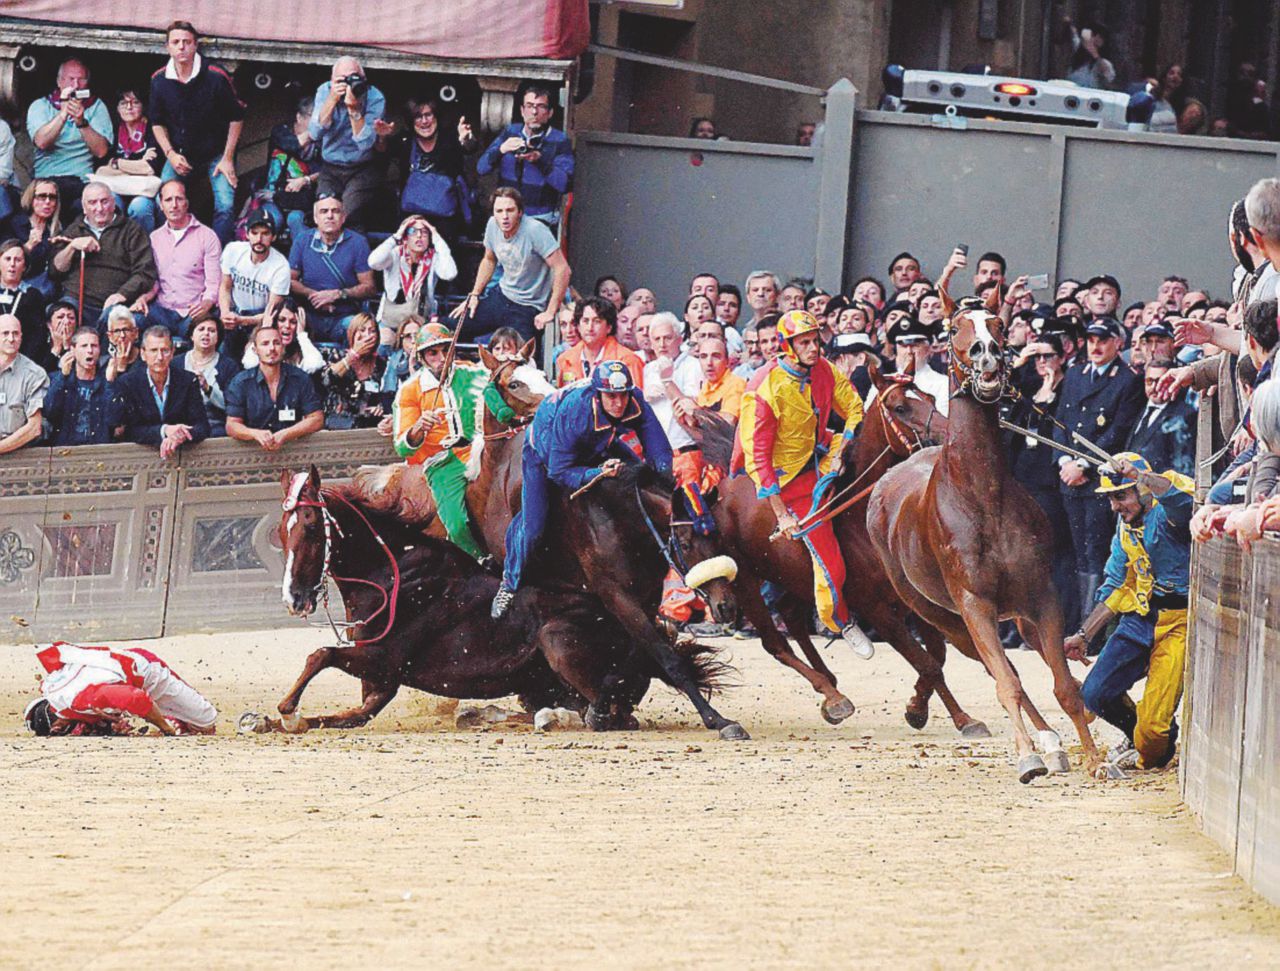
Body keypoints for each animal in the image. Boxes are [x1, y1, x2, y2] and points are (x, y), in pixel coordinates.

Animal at [870, 289, 1100, 782]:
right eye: (955, 327)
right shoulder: (974, 603)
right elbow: (1007, 682)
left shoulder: (1043, 596)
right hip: (940, 614)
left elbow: (1063, 685)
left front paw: (1094, 759)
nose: (987, 353)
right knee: (992, 666)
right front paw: (1029, 757)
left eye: (997, 322)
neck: (982, 496)